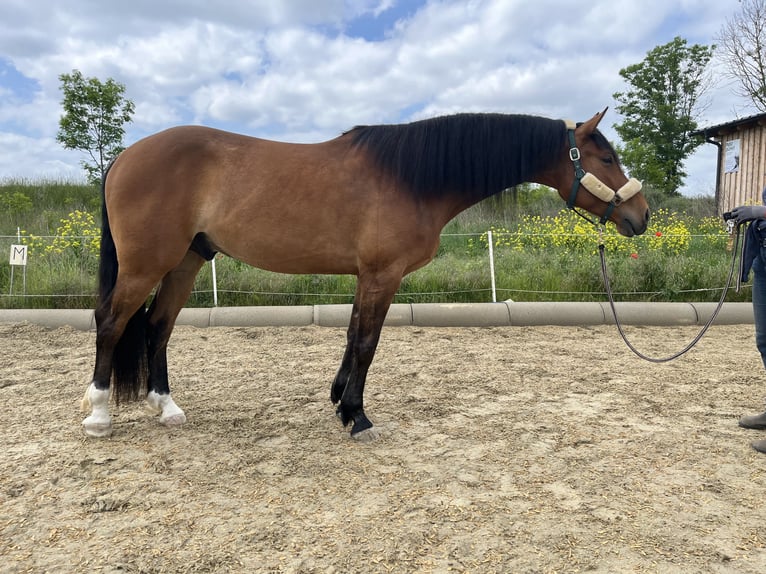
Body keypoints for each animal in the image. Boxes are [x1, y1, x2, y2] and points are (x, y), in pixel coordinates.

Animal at [81, 108, 649, 440]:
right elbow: (367, 343)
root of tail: (125, 157)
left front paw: (338, 401)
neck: (412, 176)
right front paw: (357, 416)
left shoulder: (365, 276)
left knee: (158, 326)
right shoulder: (382, 275)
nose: (640, 216)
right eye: (606, 156)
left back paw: (166, 407)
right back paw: (100, 413)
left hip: (186, 261)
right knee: (111, 322)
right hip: (146, 265)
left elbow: (353, 334)